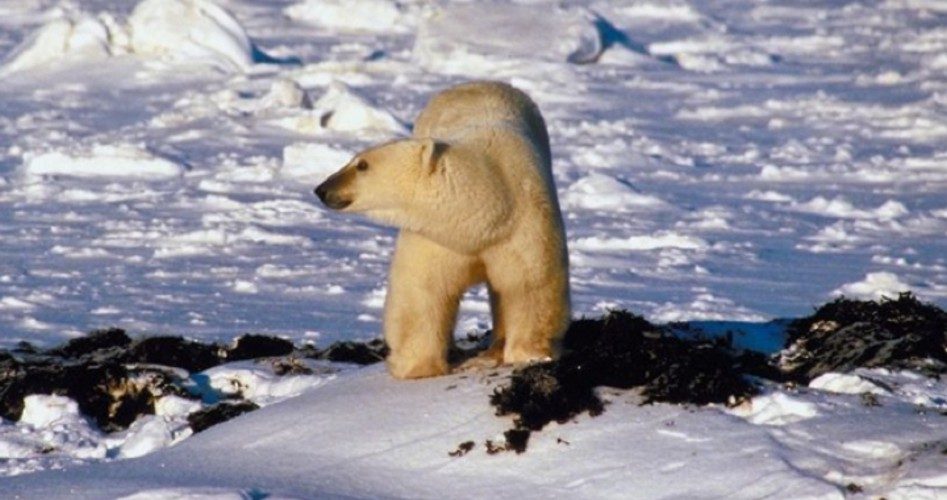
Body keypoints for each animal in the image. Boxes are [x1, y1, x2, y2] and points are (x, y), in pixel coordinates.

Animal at [314, 81, 570, 379]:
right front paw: (416, 366)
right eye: (356, 159)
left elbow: (529, 285)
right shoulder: (436, 237)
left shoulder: (522, 226)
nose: (322, 189)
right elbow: (422, 291)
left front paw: (528, 353)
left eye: (362, 164)